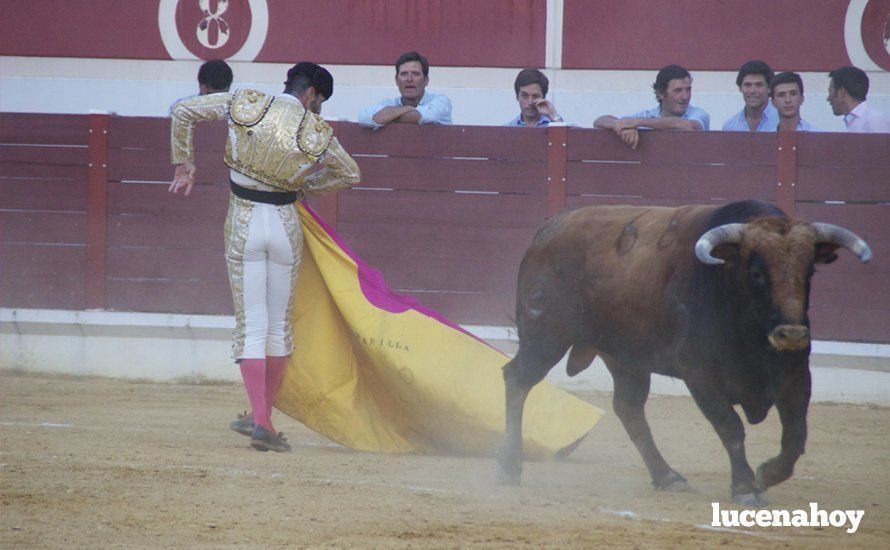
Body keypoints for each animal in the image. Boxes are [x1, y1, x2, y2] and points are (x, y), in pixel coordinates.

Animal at [496, 201, 872, 506]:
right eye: (756, 272)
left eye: (809, 271)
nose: (791, 333)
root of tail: (550, 227)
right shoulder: (701, 377)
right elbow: (731, 428)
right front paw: (745, 487)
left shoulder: (796, 378)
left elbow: (795, 437)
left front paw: (765, 474)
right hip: (545, 339)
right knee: (517, 380)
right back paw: (509, 468)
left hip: (626, 359)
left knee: (629, 408)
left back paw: (667, 476)